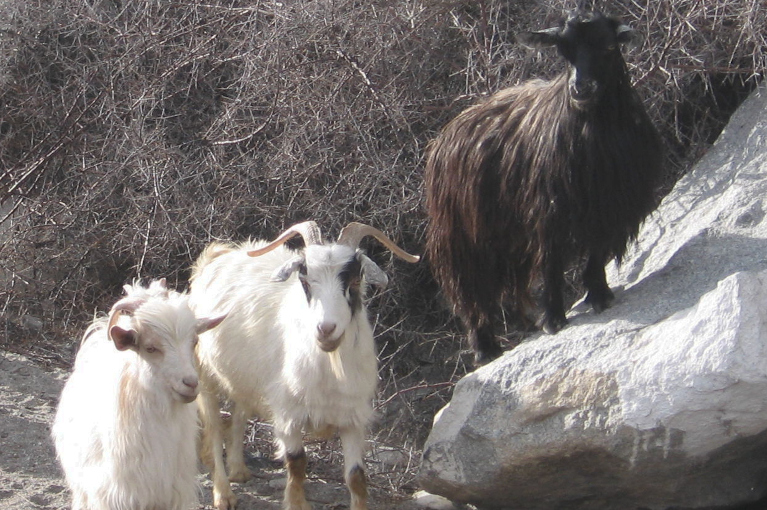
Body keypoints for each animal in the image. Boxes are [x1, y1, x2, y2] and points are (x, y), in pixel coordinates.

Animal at [188, 221, 419, 510]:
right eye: (305, 281)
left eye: (355, 281)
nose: (326, 329)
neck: (330, 368)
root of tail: (218, 256)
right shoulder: (288, 413)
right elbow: (297, 465)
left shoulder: (353, 417)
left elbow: (356, 477)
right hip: (204, 373)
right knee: (213, 429)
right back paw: (224, 494)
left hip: (247, 379)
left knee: (239, 415)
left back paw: (239, 470)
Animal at [424, 9, 664, 365]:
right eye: (563, 51)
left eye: (609, 46)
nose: (581, 88)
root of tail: (447, 133)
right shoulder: (548, 211)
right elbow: (551, 263)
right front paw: (553, 319)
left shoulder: (610, 208)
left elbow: (596, 253)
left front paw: (600, 296)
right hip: (460, 236)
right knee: (469, 291)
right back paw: (485, 347)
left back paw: (522, 325)